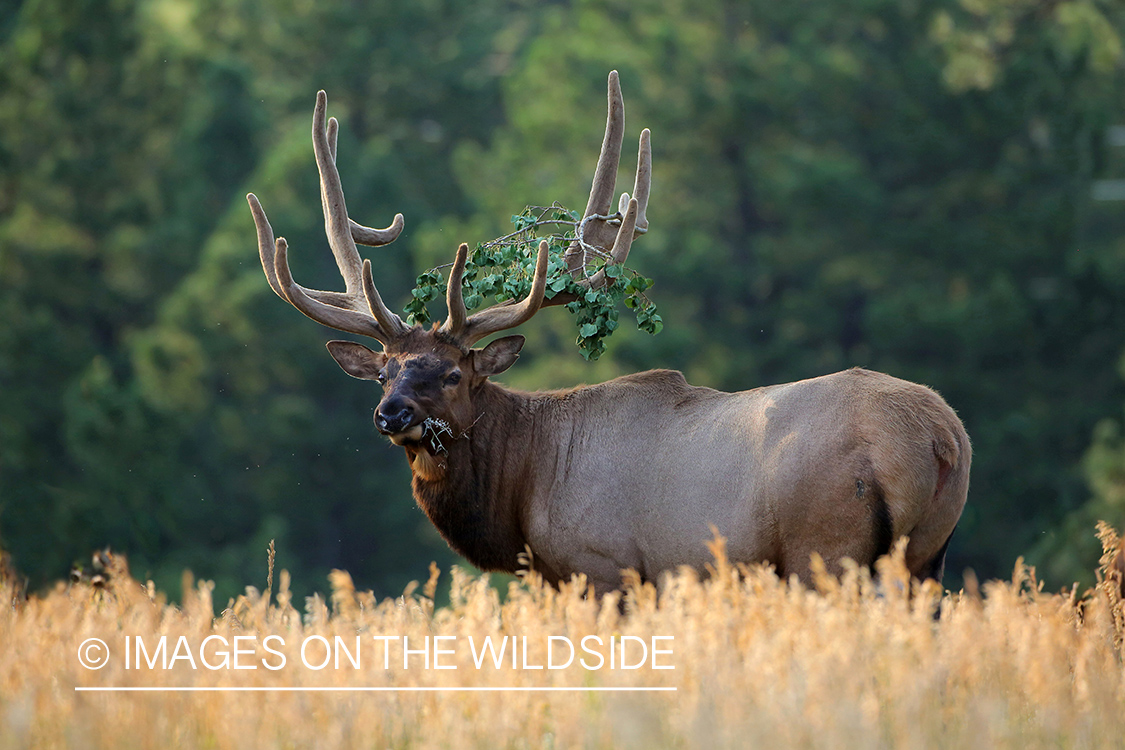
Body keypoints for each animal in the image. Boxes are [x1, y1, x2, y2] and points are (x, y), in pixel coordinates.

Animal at [246, 73, 967, 593]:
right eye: (385, 371)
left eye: (452, 373)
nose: (390, 415)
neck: (523, 493)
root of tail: (940, 438)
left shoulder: (601, 566)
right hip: (927, 557)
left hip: (828, 548)